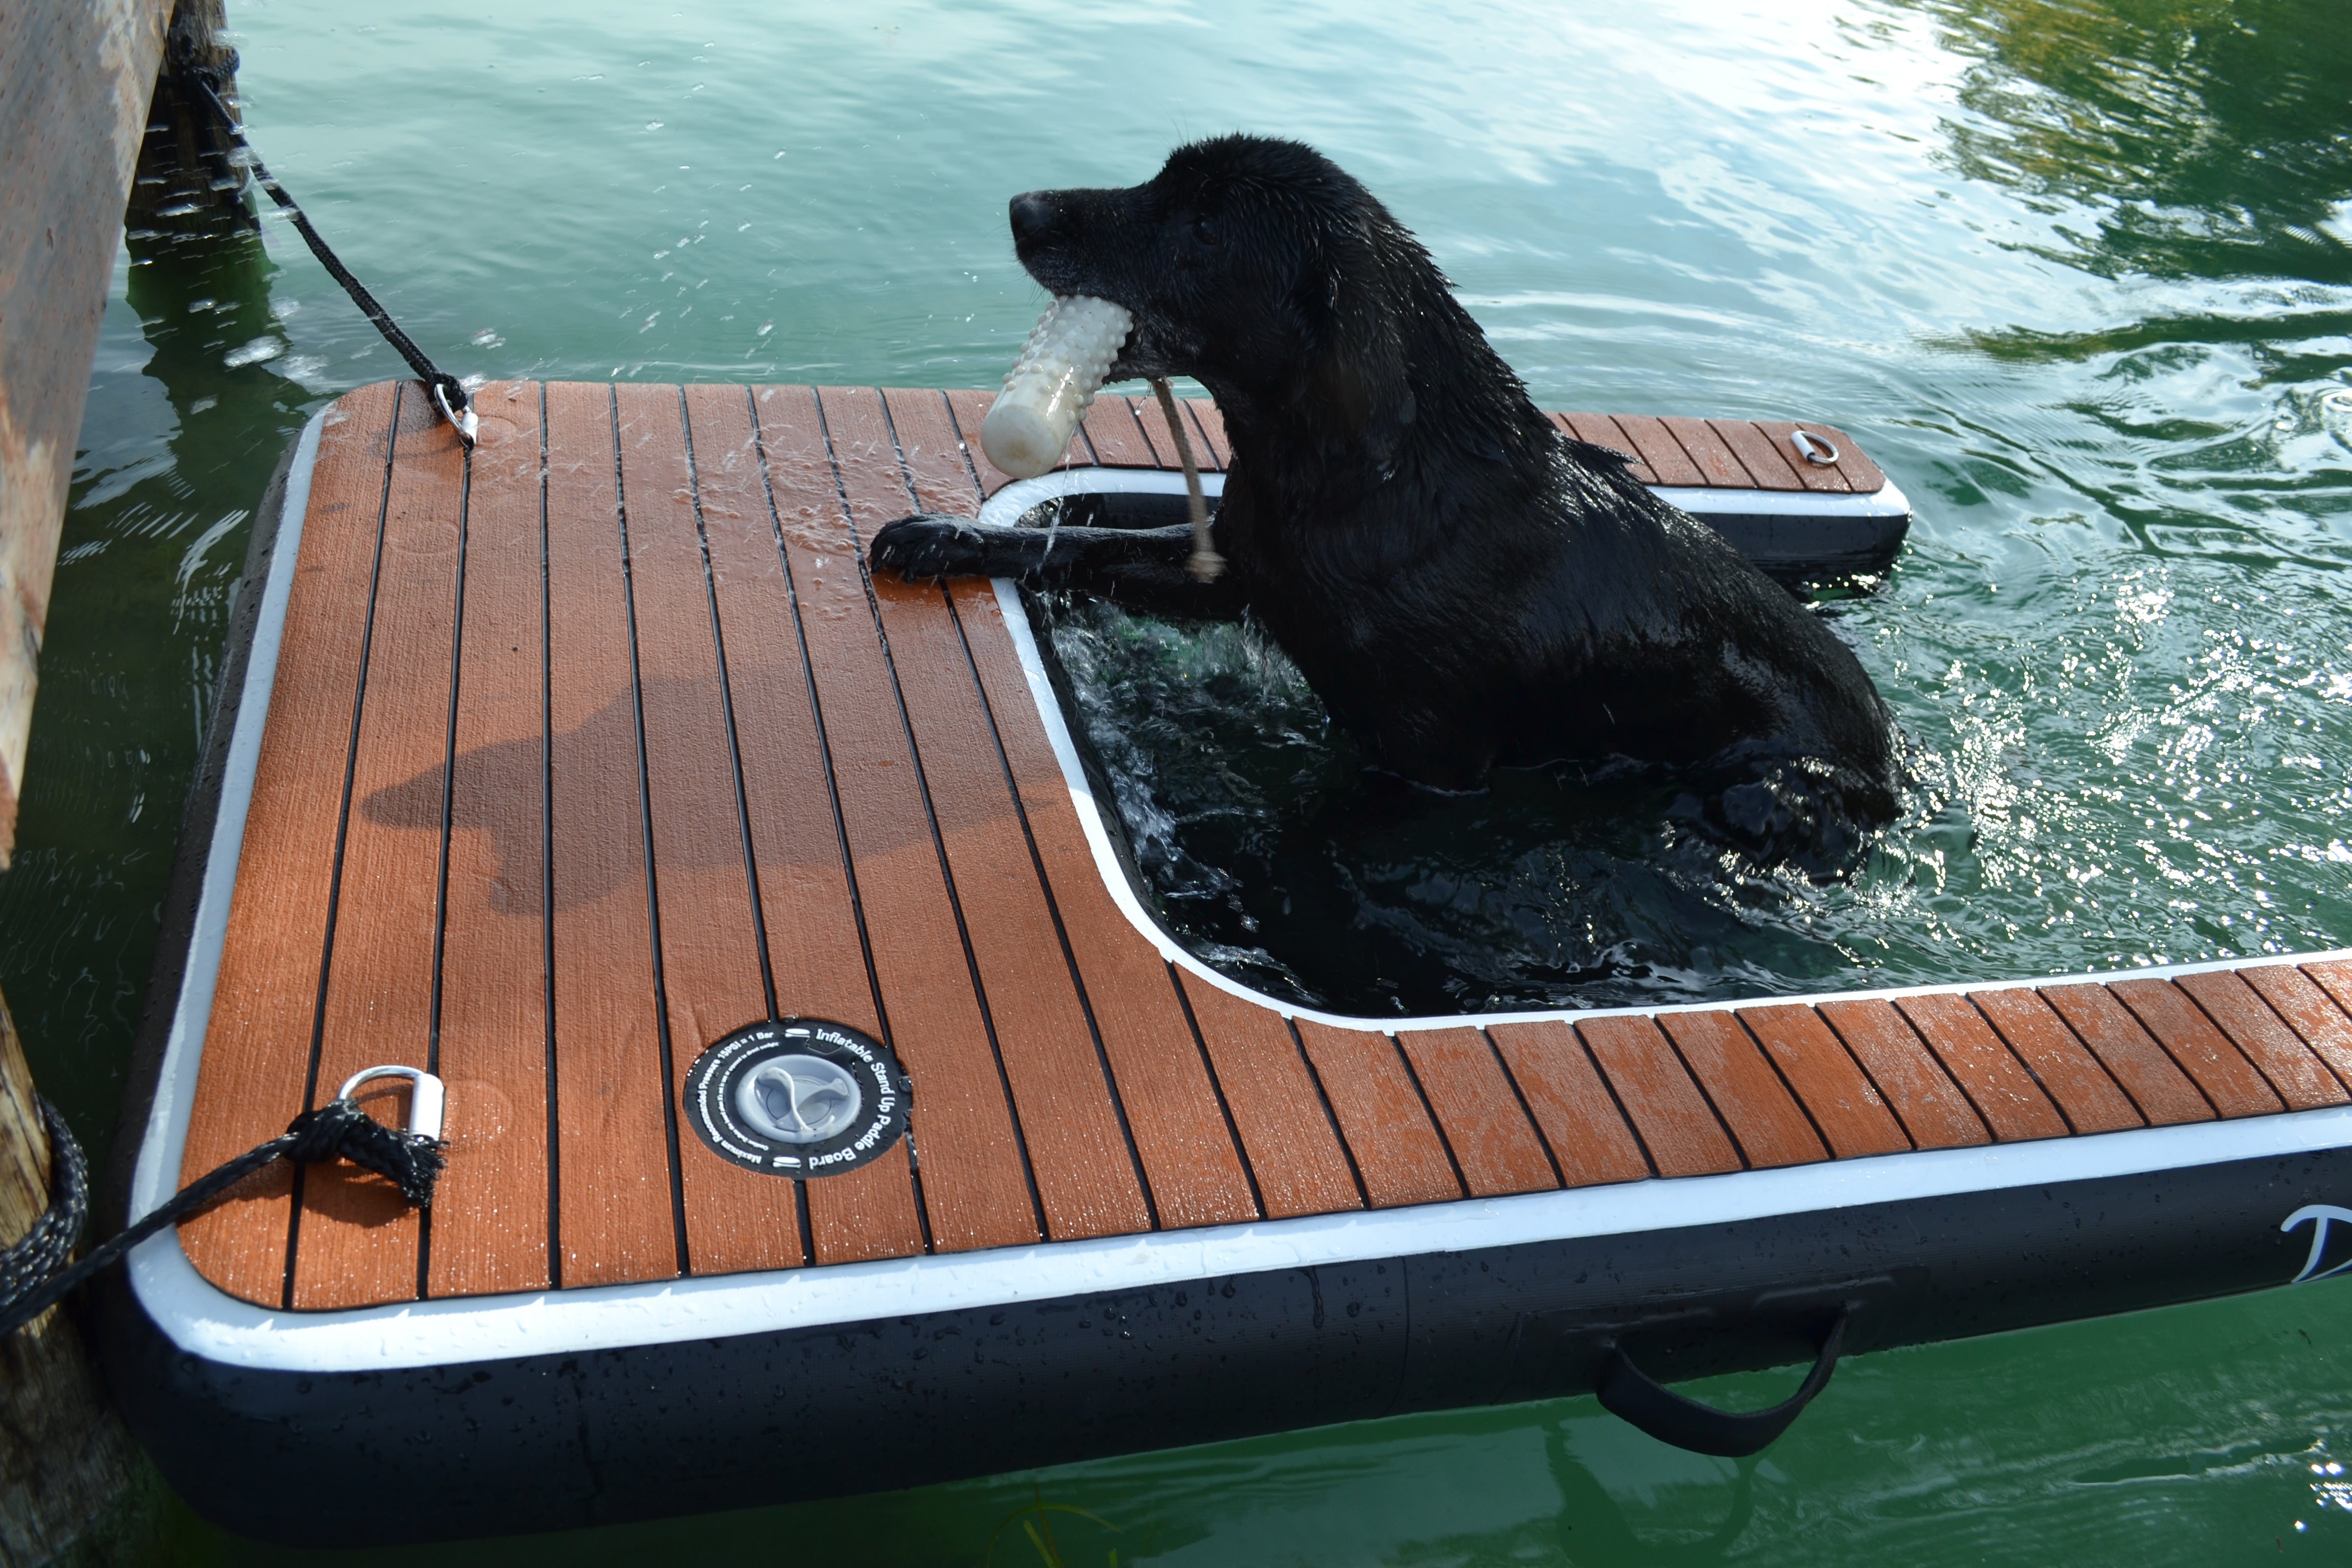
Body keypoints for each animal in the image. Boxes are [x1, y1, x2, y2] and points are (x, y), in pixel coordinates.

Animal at [875, 138, 1900, 860]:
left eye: (1204, 226)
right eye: (1160, 184)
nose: (1023, 208)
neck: (1367, 482)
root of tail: (1893, 752)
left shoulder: (1426, 758)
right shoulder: (1240, 570)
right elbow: (1077, 544)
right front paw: (945, 536)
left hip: (1765, 788)